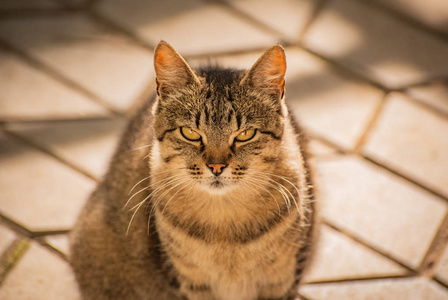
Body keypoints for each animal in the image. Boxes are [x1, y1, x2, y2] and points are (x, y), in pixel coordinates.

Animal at [69, 40, 316, 300]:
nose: (216, 166)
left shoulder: (283, 279)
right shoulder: (189, 283)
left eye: (246, 134)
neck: (224, 224)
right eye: (190, 133)